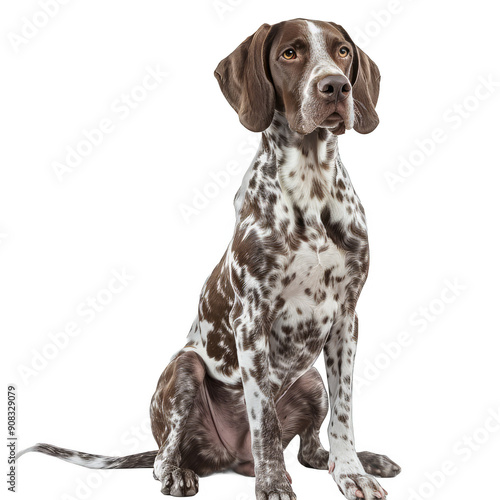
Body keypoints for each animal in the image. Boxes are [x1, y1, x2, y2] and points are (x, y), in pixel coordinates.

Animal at [18, 18, 402, 500]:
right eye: (290, 53)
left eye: (343, 51)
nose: (335, 86)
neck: (311, 186)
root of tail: (229, 459)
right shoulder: (251, 322)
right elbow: (265, 422)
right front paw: (273, 484)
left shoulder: (347, 320)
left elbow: (343, 415)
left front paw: (352, 471)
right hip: (185, 369)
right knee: (162, 457)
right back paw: (179, 472)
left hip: (311, 380)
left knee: (310, 450)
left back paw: (361, 460)